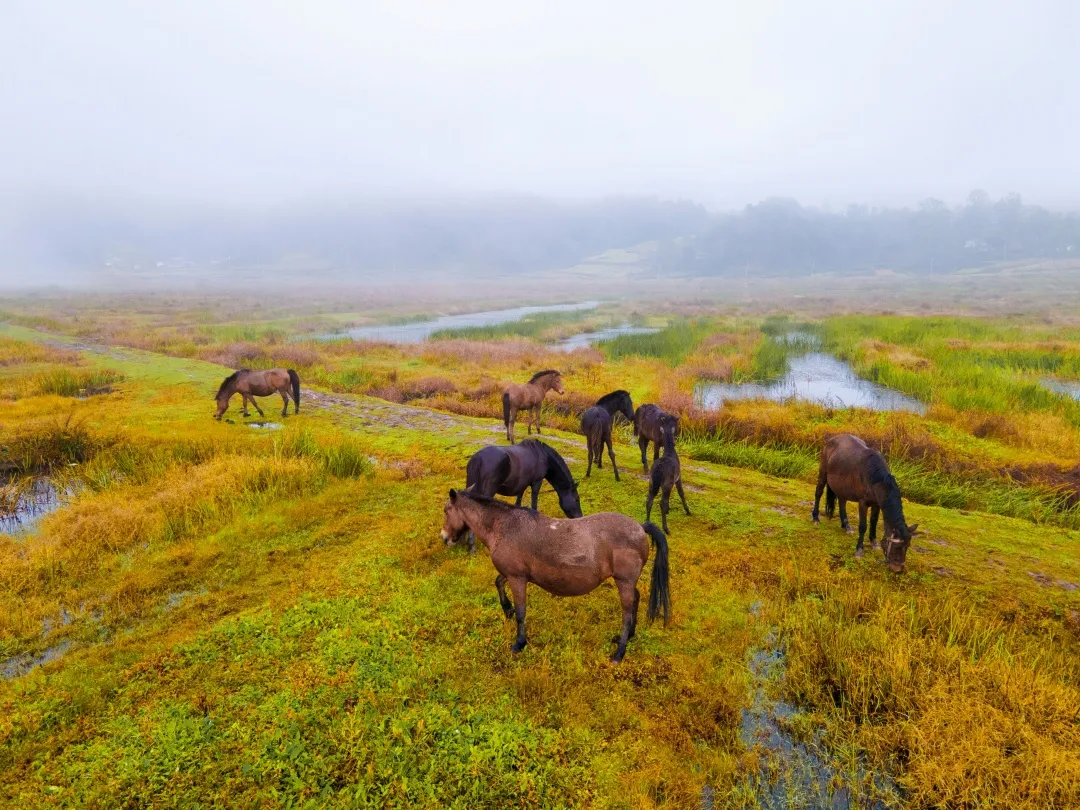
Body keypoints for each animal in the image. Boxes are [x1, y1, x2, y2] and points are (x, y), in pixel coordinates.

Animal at [438, 492, 665, 660]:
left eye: (446, 511)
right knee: (636, 598)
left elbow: (521, 612)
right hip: (627, 582)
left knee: (626, 613)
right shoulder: (511, 573)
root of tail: (640, 527)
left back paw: (619, 652)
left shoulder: (517, 578)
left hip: (623, 582)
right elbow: (498, 582)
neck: (503, 526)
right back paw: (630, 635)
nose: (445, 538)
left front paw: (519, 643)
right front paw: (507, 609)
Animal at [812, 434, 920, 574]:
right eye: (896, 547)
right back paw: (815, 518)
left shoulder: (877, 504)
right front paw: (859, 550)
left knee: (842, 501)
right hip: (823, 474)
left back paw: (846, 526)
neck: (875, 477)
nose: (898, 570)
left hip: (842, 487)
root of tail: (832, 439)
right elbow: (863, 526)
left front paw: (874, 542)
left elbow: (873, 522)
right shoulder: (863, 503)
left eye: (907, 546)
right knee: (818, 493)